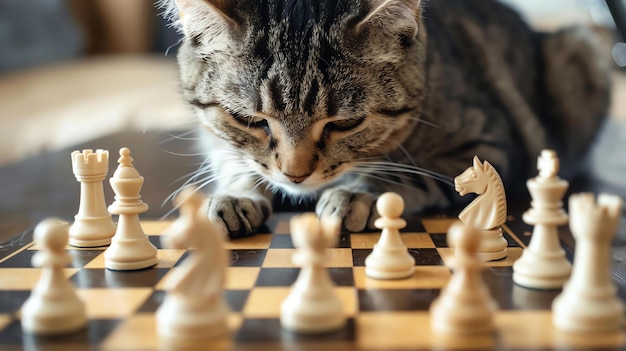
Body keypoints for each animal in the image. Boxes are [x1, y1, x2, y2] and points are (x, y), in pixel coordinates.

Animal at [158, 0, 608, 239]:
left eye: (344, 124)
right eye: (249, 120)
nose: (295, 176)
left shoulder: (488, 145)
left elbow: (402, 175)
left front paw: (357, 194)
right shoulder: (215, 138)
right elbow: (236, 161)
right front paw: (236, 196)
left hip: (580, 46)